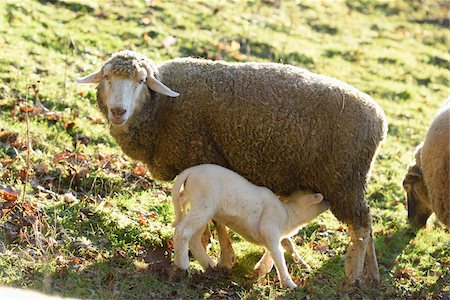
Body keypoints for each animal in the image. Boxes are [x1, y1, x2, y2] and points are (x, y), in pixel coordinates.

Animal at [171, 163, 328, 290]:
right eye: (317, 196)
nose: (328, 202)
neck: (289, 214)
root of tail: (190, 171)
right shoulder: (269, 227)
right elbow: (279, 255)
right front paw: (289, 284)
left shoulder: (272, 236)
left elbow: (278, 249)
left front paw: (262, 268)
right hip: (204, 204)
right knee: (183, 231)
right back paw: (182, 265)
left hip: (202, 208)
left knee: (193, 237)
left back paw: (210, 266)